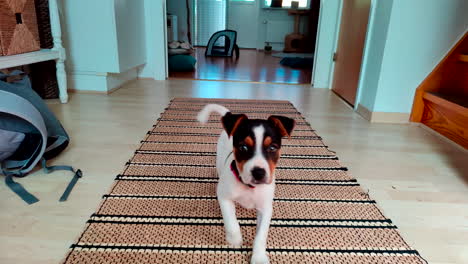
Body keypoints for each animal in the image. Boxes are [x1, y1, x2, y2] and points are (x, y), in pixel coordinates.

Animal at [197, 104, 292, 262]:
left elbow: (261, 236)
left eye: (272, 148)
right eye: (243, 147)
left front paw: (258, 258)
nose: (258, 172)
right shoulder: (224, 197)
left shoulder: (266, 209)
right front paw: (234, 240)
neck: (249, 187)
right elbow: (231, 221)